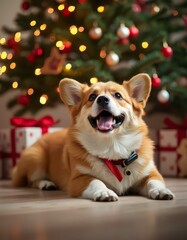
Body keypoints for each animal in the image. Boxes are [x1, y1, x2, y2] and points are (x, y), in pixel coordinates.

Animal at [12, 74, 174, 202]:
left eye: (118, 95)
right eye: (92, 97)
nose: (102, 99)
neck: (112, 145)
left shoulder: (151, 173)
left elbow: (155, 182)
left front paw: (162, 191)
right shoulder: (78, 179)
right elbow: (95, 181)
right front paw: (105, 192)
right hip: (36, 158)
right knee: (32, 181)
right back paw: (46, 184)